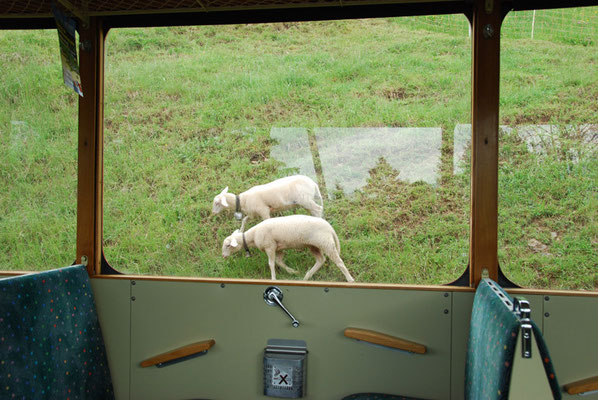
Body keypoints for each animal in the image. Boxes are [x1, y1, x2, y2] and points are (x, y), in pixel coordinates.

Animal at [221, 214, 354, 282]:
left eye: (228, 245)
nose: (223, 256)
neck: (252, 236)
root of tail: (330, 228)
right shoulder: (278, 248)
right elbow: (279, 262)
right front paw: (292, 271)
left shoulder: (270, 246)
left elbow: (271, 263)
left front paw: (273, 278)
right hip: (314, 246)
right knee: (321, 260)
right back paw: (307, 276)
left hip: (326, 243)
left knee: (339, 262)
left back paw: (350, 279)